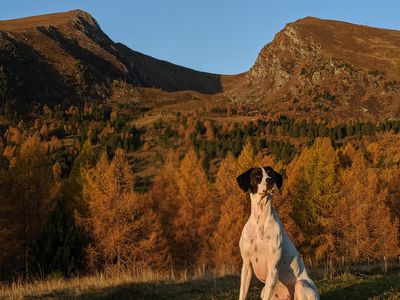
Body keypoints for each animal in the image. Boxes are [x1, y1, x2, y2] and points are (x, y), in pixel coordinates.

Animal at [236, 166, 320, 300]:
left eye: (271, 174)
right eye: (257, 175)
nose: (269, 181)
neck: (260, 219)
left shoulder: (273, 268)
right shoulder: (247, 265)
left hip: (301, 285)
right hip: (264, 290)